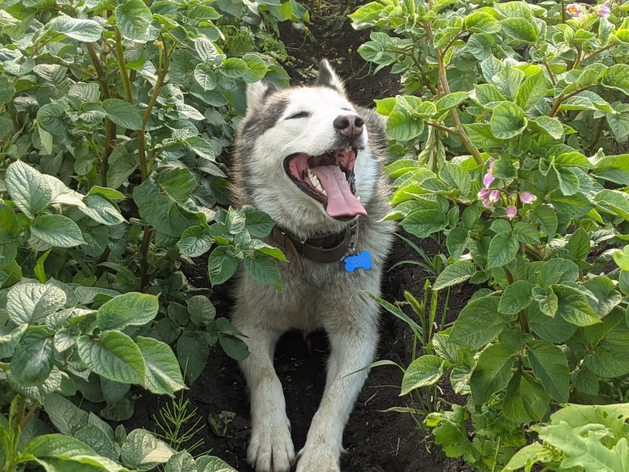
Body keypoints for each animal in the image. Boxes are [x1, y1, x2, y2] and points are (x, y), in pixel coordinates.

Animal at [231, 60, 392, 472]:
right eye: (298, 115)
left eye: (342, 110)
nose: (350, 123)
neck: (313, 248)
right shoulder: (247, 326)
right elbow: (267, 379)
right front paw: (272, 438)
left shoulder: (358, 335)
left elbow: (334, 400)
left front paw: (319, 456)